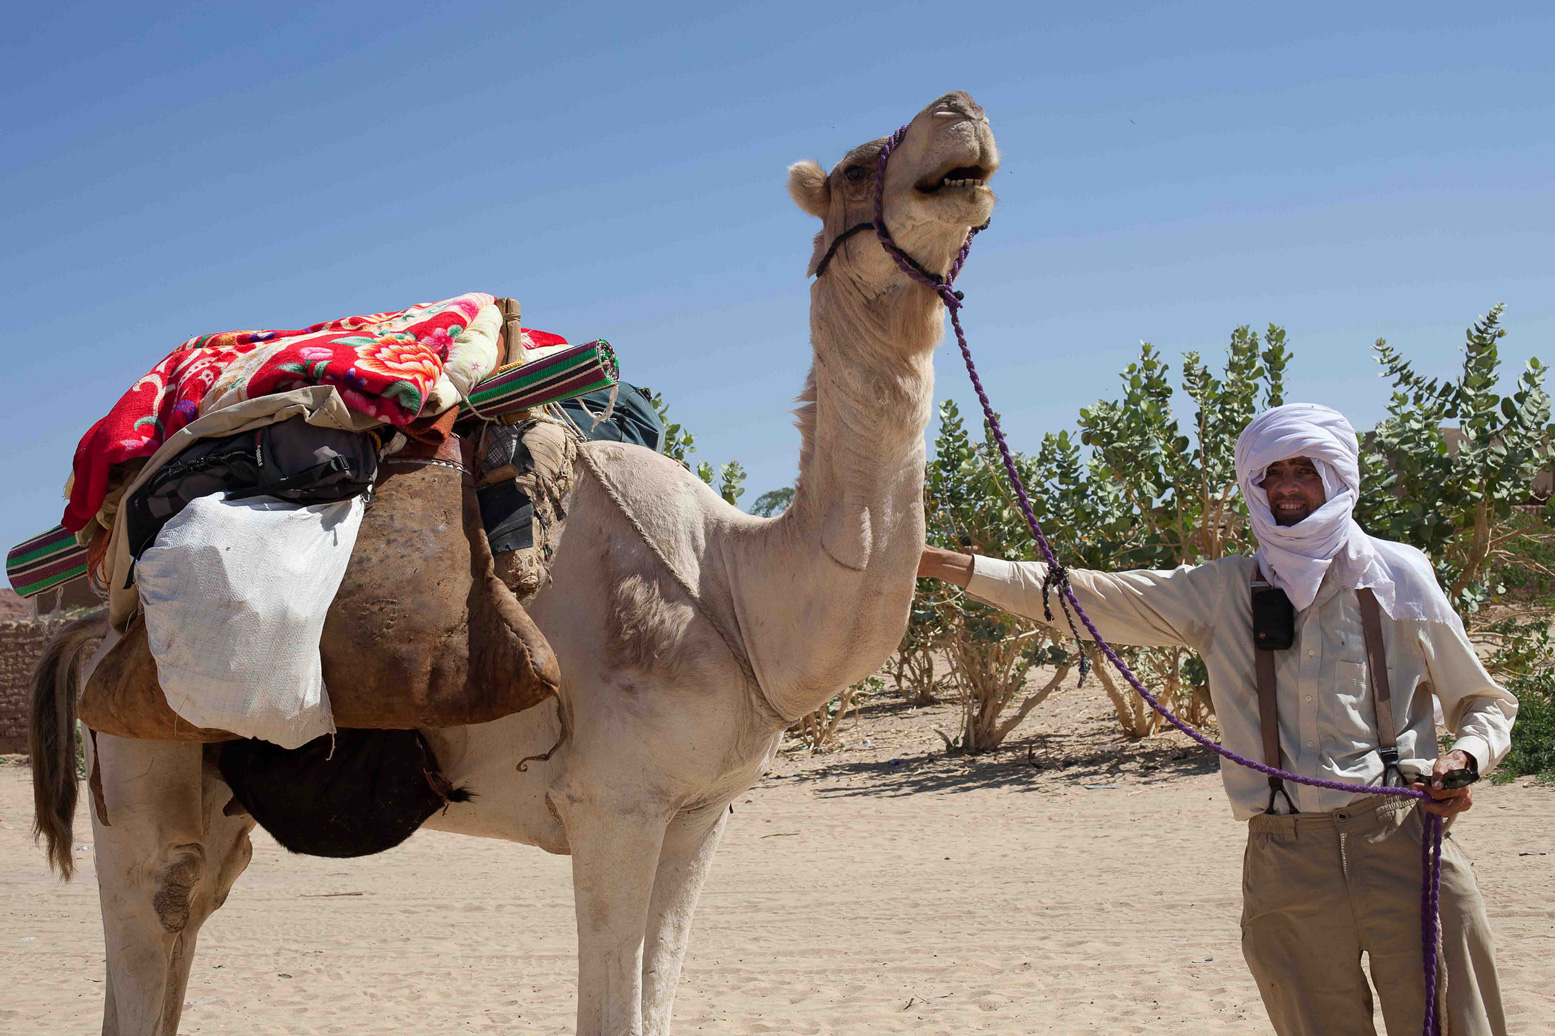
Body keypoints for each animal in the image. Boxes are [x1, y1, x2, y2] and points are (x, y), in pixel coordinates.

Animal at [30, 90, 1000, 1035]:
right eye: (856, 167)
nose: (962, 111)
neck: (737, 593)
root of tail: (96, 624)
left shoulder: (698, 816)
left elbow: (657, 999)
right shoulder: (612, 806)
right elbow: (612, 1014)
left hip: (224, 792)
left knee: (191, 913)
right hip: (136, 761)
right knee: (159, 906)